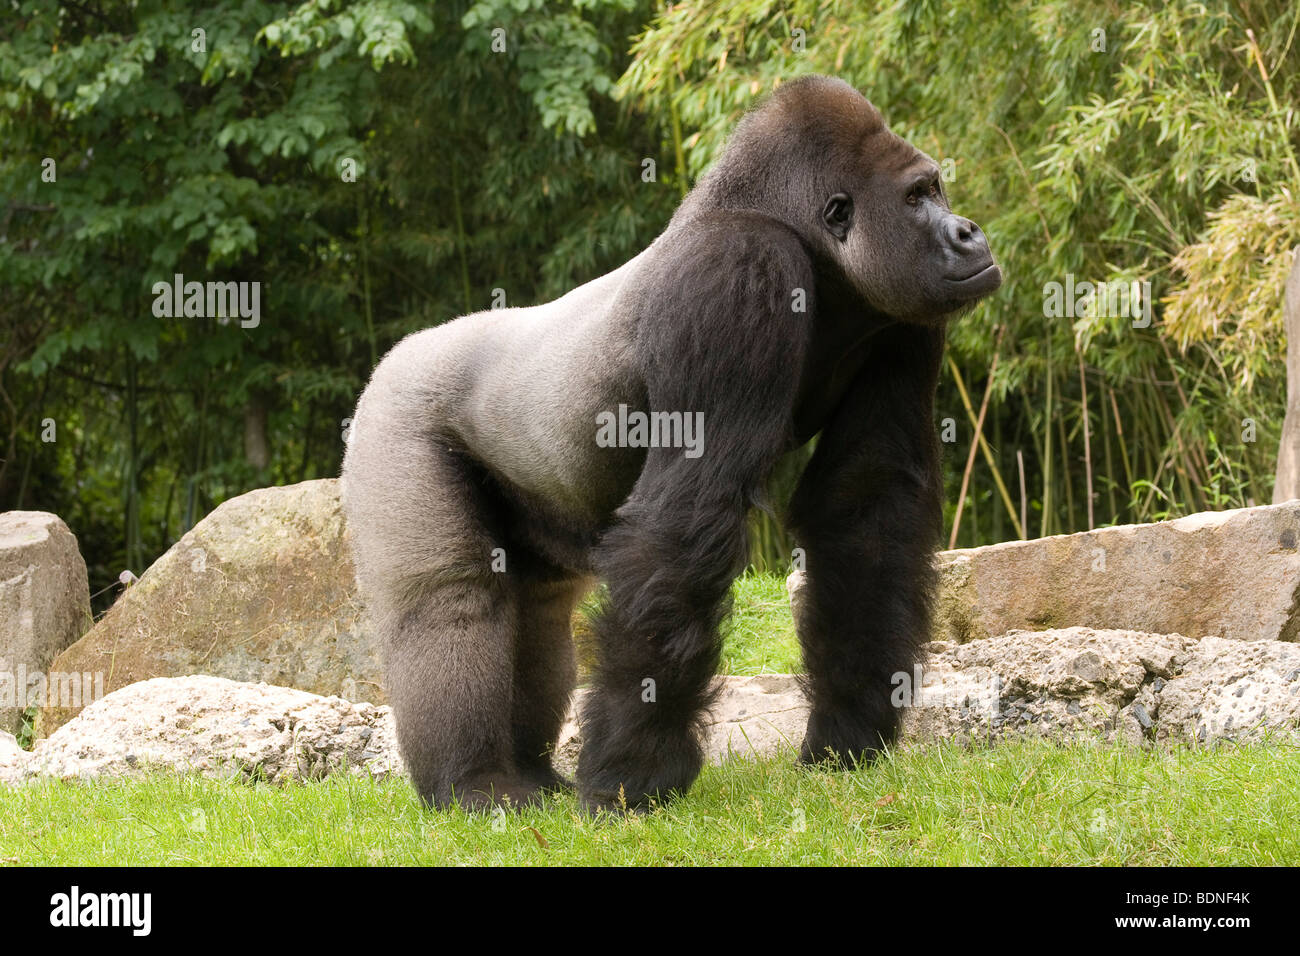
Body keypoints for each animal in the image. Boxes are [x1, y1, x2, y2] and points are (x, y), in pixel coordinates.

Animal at [340, 74, 998, 811]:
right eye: (916, 198)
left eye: (936, 191)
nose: (968, 232)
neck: (807, 245)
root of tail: (397, 354)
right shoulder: (736, 272)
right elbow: (688, 513)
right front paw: (633, 776)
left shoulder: (899, 317)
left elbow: (865, 505)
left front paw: (846, 737)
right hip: (393, 417)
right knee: (450, 597)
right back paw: (471, 781)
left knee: (538, 611)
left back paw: (532, 773)